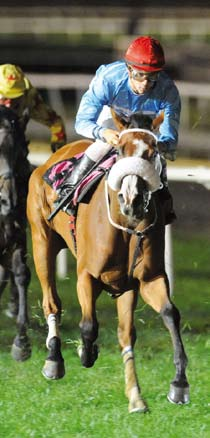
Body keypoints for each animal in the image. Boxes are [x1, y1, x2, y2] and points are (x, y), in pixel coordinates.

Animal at [27, 111, 189, 412]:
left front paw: (179, 385)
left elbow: (169, 314)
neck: (126, 227)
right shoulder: (86, 276)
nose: (132, 200)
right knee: (51, 301)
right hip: (41, 239)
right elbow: (89, 325)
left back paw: (136, 396)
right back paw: (54, 359)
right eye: (121, 150)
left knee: (126, 333)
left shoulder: (145, 280)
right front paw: (85, 352)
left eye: (153, 152)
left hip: (124, 288)